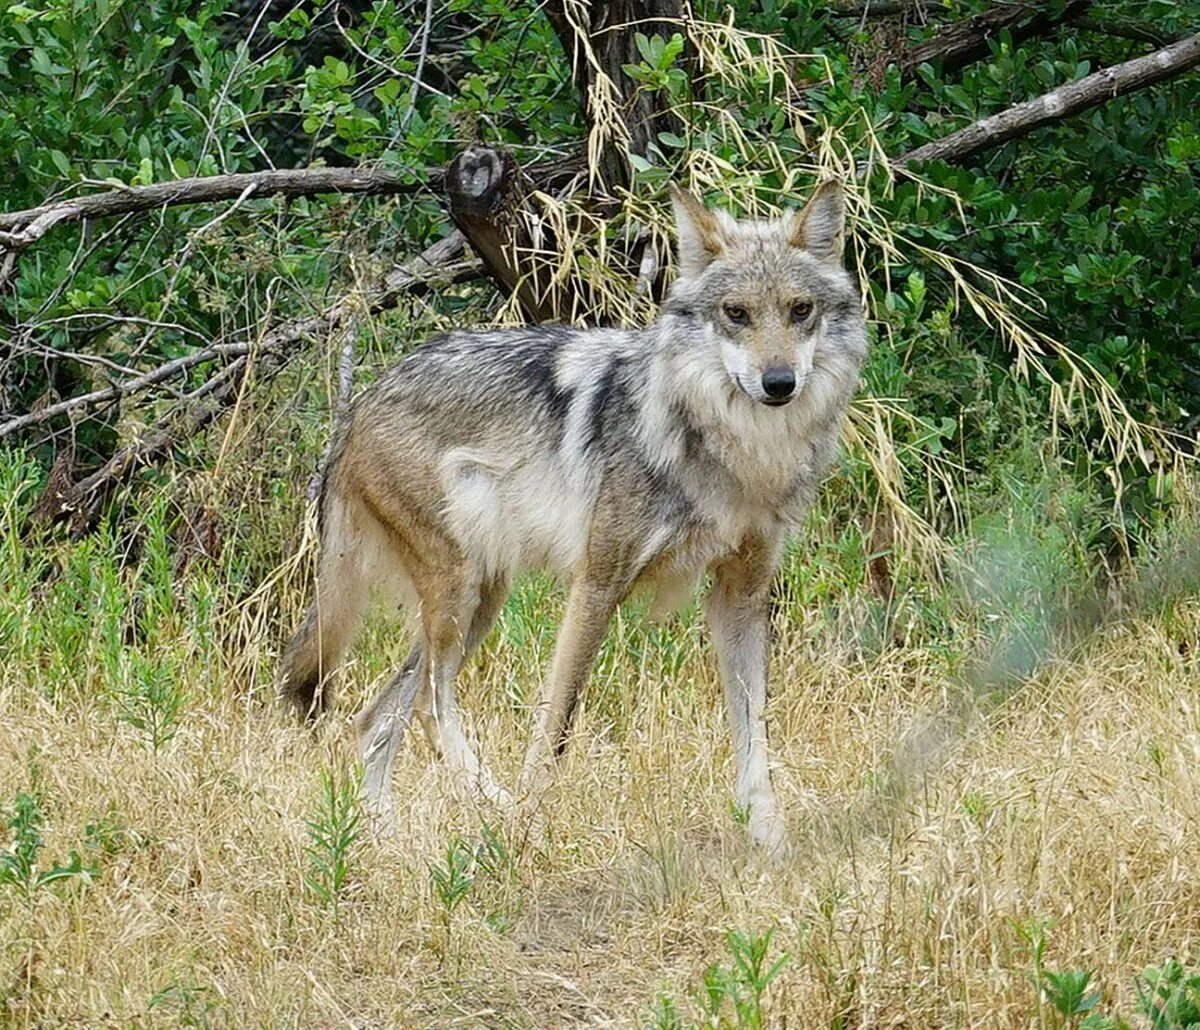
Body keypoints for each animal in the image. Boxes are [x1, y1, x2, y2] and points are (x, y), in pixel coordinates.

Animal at [277, 180, 868, 854]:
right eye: (736, 313)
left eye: (800, 310)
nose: (778, 383)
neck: (738, 452)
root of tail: (360, 402)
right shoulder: (598, 582)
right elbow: (557, 726)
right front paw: (531, 826)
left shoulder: (739, 597)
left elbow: (755, 734)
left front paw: (771, 841)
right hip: (459, 595)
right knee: (428, 704)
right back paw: (494, 806)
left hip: (479, 601)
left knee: (376, 717)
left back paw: (383, 839)